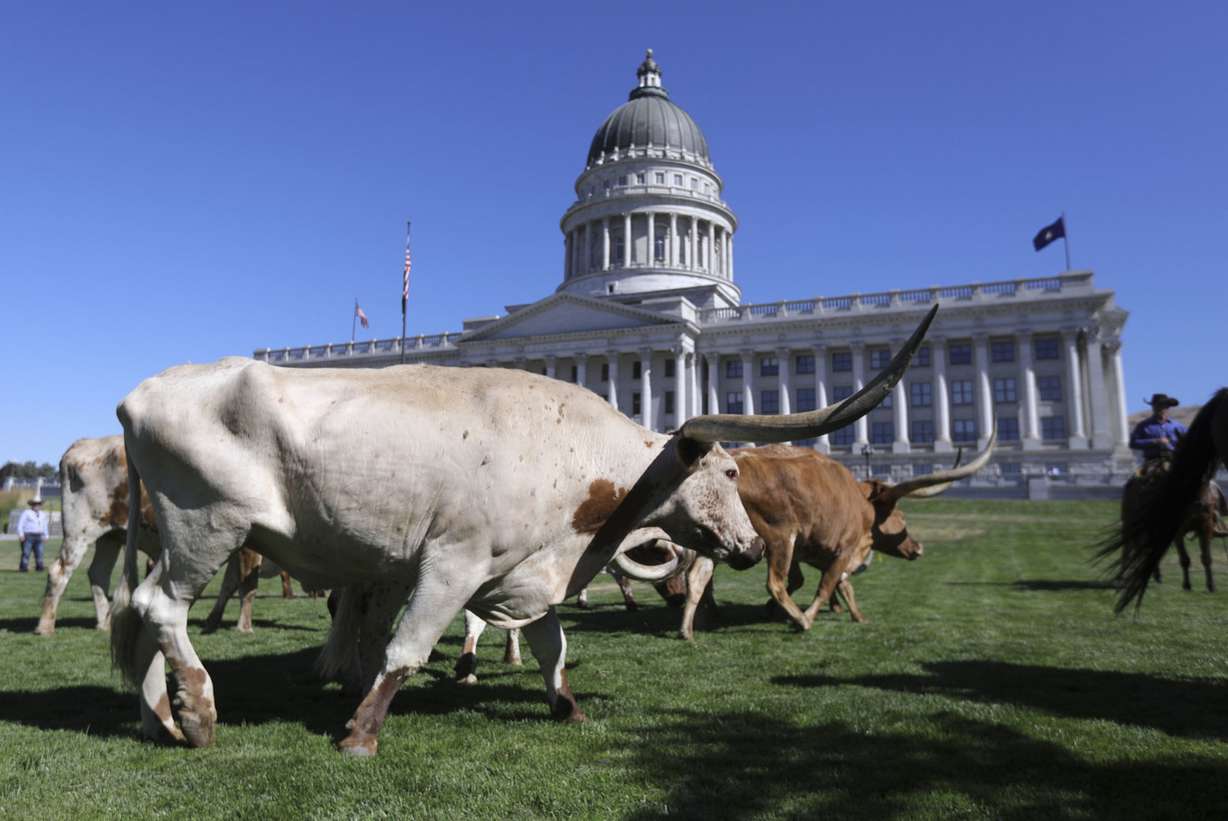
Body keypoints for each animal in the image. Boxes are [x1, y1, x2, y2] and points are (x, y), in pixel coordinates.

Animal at [108, 305, 934, 756]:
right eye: (731, 473)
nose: (755, 546)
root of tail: (141, 392)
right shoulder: (451, 561)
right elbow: (405, 651)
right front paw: (360, 731)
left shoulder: (527, 569)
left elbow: (551, 645)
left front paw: (566, 704)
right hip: (207, 526)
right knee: (160, 608)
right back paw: (200, 712)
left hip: (182, 536)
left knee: (138, 613)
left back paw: (158, 720)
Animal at [678, 429, 996, 639]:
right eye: (901, 518)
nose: (918, 548)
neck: (859, 501)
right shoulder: (843, 549)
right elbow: (827, 584)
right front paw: (805, 616)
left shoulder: (805, 549)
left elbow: (829, 583)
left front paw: (857, 615)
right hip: (777, 537)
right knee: (773, 583)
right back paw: (801, 621)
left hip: (723, 541)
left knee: (697, 578)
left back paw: (687, 630)